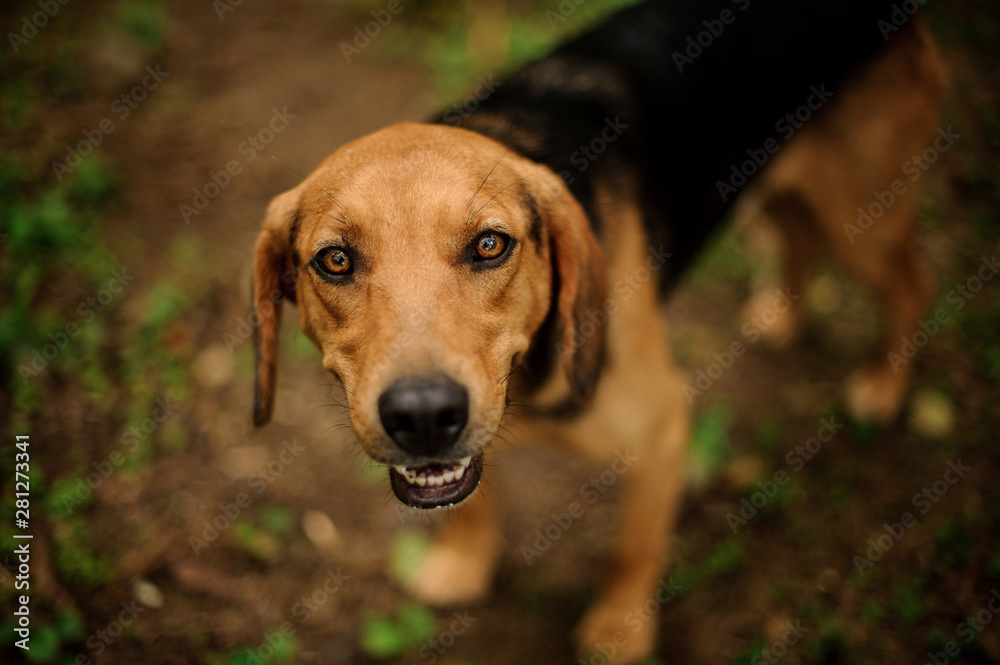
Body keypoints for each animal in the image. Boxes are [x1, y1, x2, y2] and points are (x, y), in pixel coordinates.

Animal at [250, 2, 944, 660]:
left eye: (490, 245)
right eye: (335, 260)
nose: (422, 415)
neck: (527, 384)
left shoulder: (663, 427)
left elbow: (631, 552)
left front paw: (617, 631)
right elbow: (474, 499)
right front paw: (463, 562)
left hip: (862, 221)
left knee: (912, 284)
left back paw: (884, 386)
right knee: (799, 238)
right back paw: (783, 316)